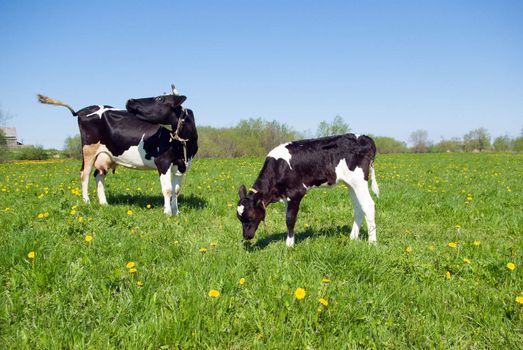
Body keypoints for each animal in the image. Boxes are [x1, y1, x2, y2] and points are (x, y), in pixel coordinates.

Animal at [37, 89, 199, 216]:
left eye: (160, 98)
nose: (130, 100)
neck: (182, 143)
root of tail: (83, 110)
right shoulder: (163, 162)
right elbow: (167, 189)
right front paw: (167, 212)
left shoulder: (182, 165)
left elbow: (176, 190)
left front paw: (176, 211)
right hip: (89, 150)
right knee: (85, 174)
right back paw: (87, 202)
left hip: (105, 155)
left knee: (98, 175)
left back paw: (104, 203)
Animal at [235, 133, 378, 246]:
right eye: (239, 218)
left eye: (250, 217)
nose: (246, 236)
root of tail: (365, 137)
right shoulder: (286, 196)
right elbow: (287, 217)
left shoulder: (295, 193)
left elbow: (290, 219)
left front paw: (289, 245)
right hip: (351, 184)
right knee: (358, 207)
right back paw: (353, 238)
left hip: (359, 180)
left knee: (368, 205)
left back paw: (372, 242)